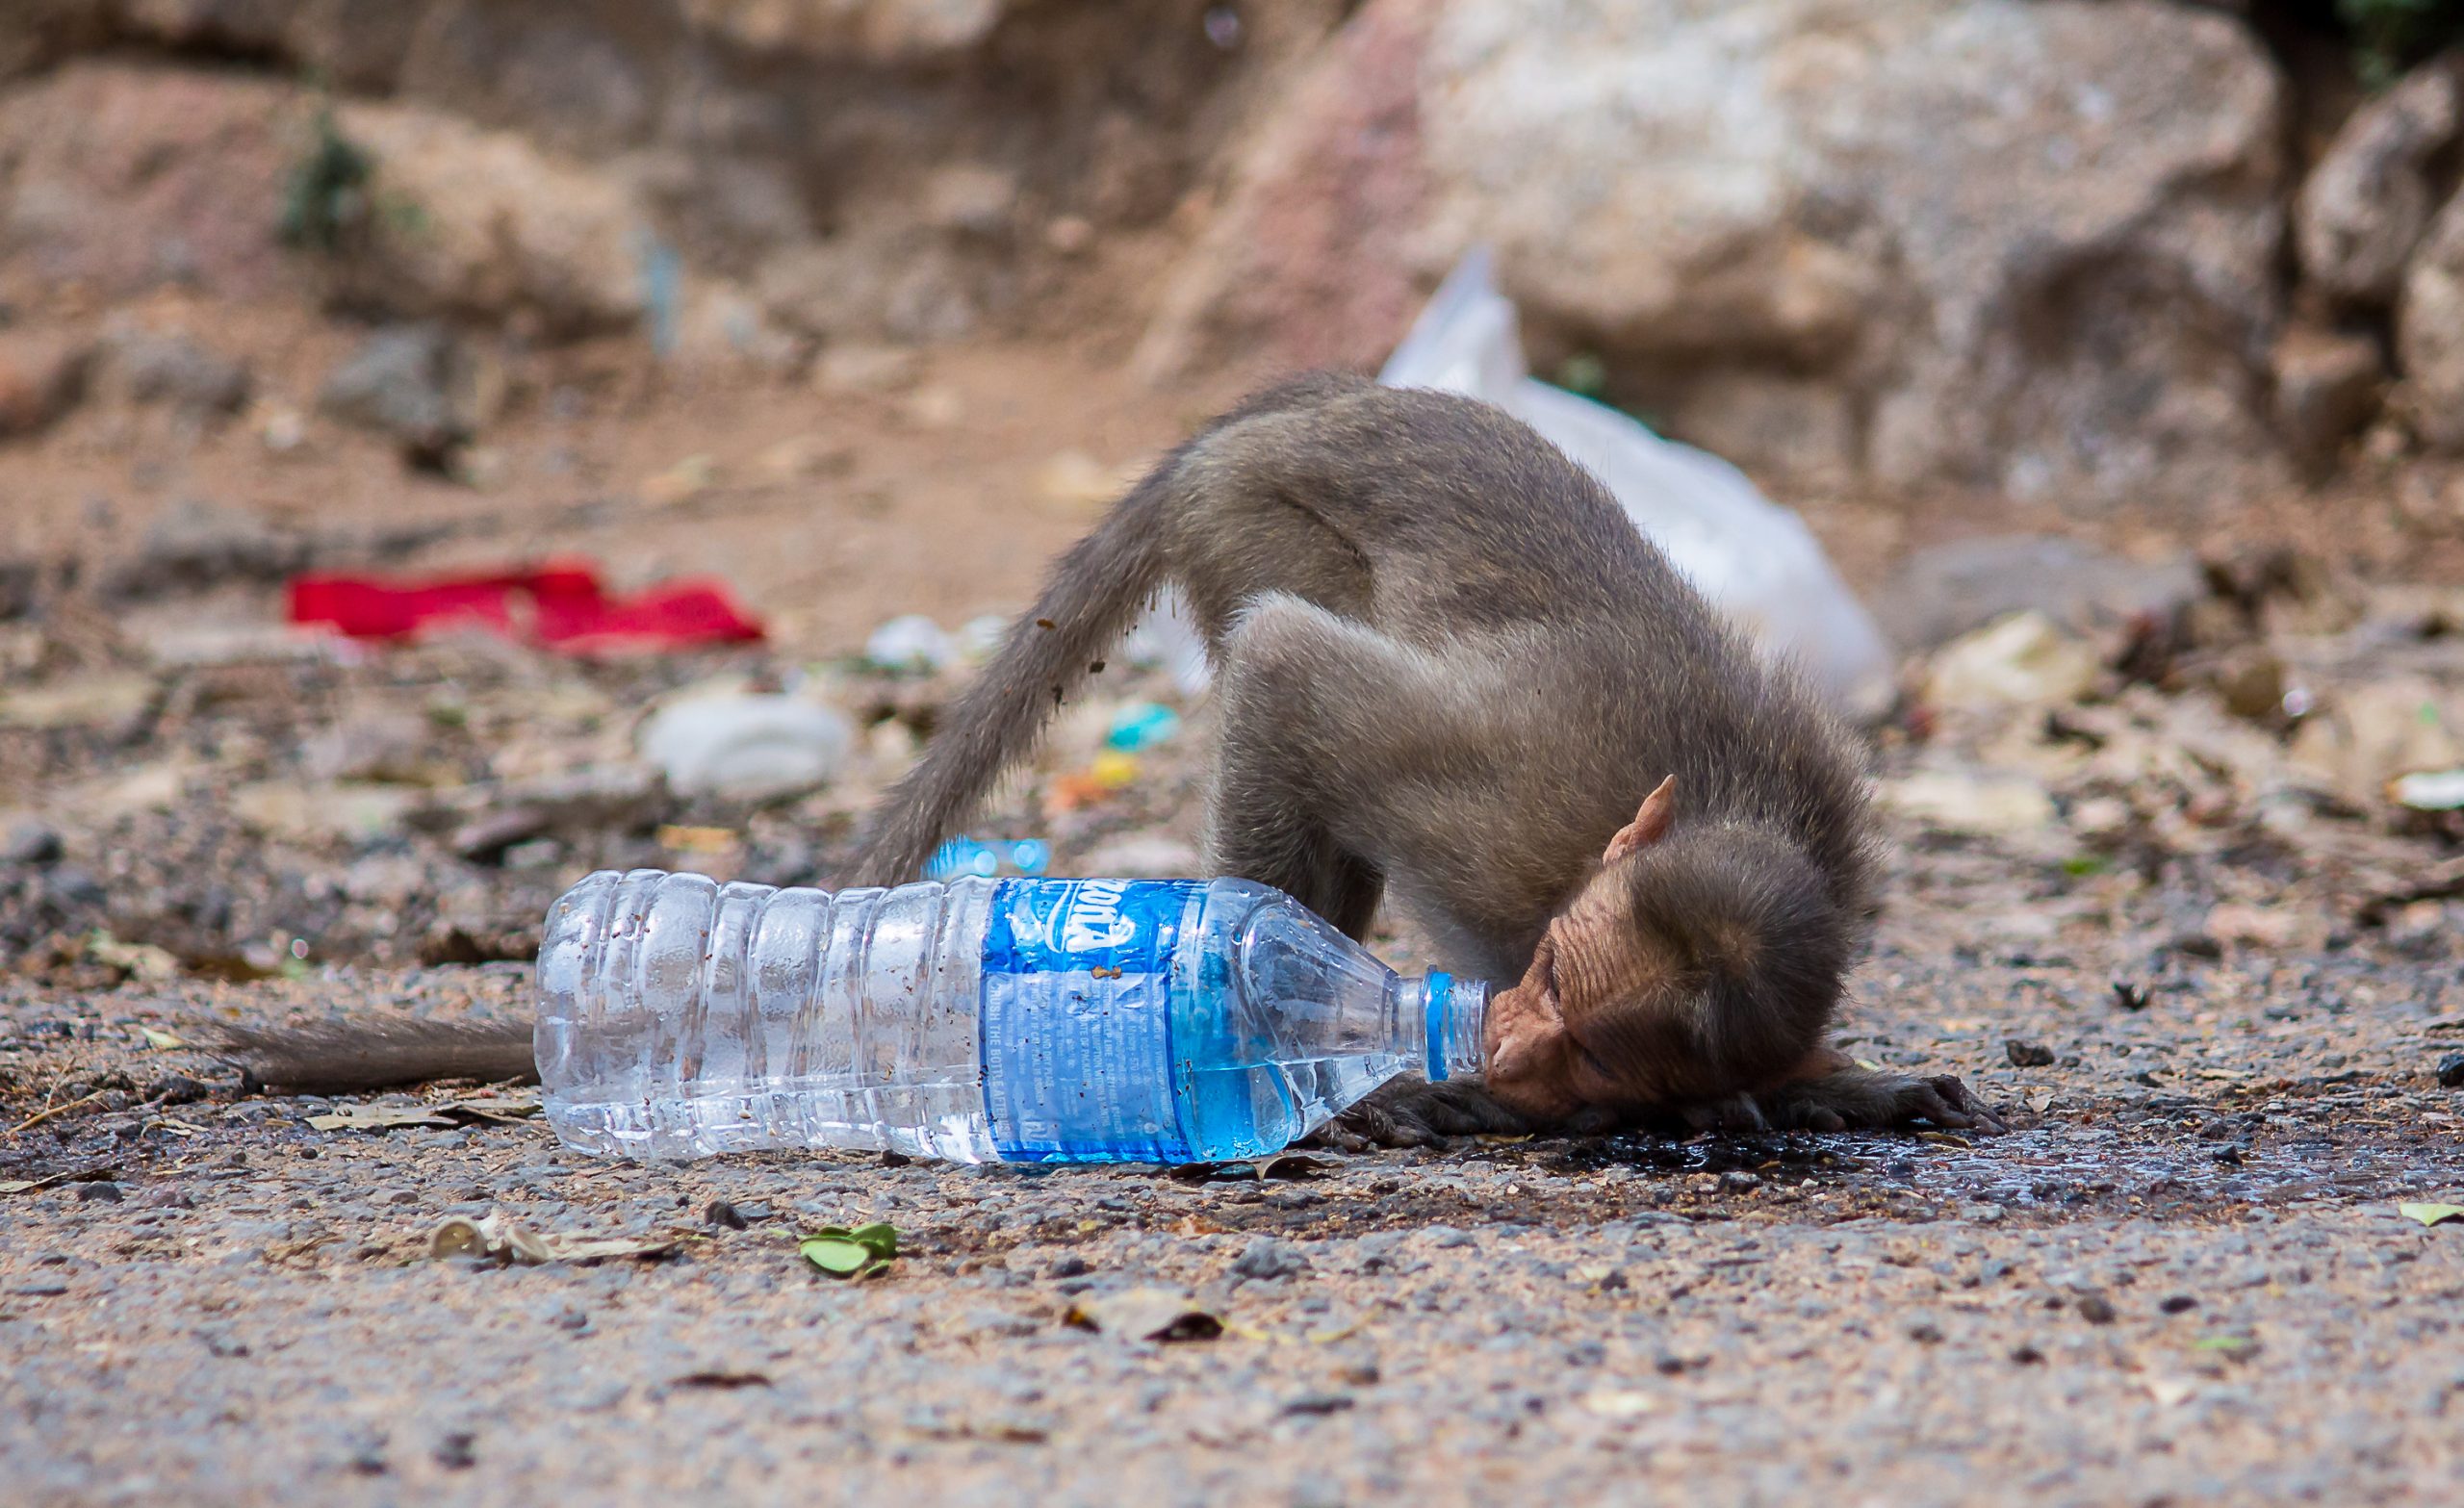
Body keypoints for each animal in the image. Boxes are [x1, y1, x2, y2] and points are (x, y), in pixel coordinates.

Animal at [221, 376, 2000, 1143]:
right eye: (1551, 971)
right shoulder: (1501, 827)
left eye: (1591, 1038)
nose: (1508, 1046)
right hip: (1251, 521)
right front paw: (1273, 1042)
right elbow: (1293, 677)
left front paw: (1836, 1083)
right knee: (1285, 662)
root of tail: (1266, 419)